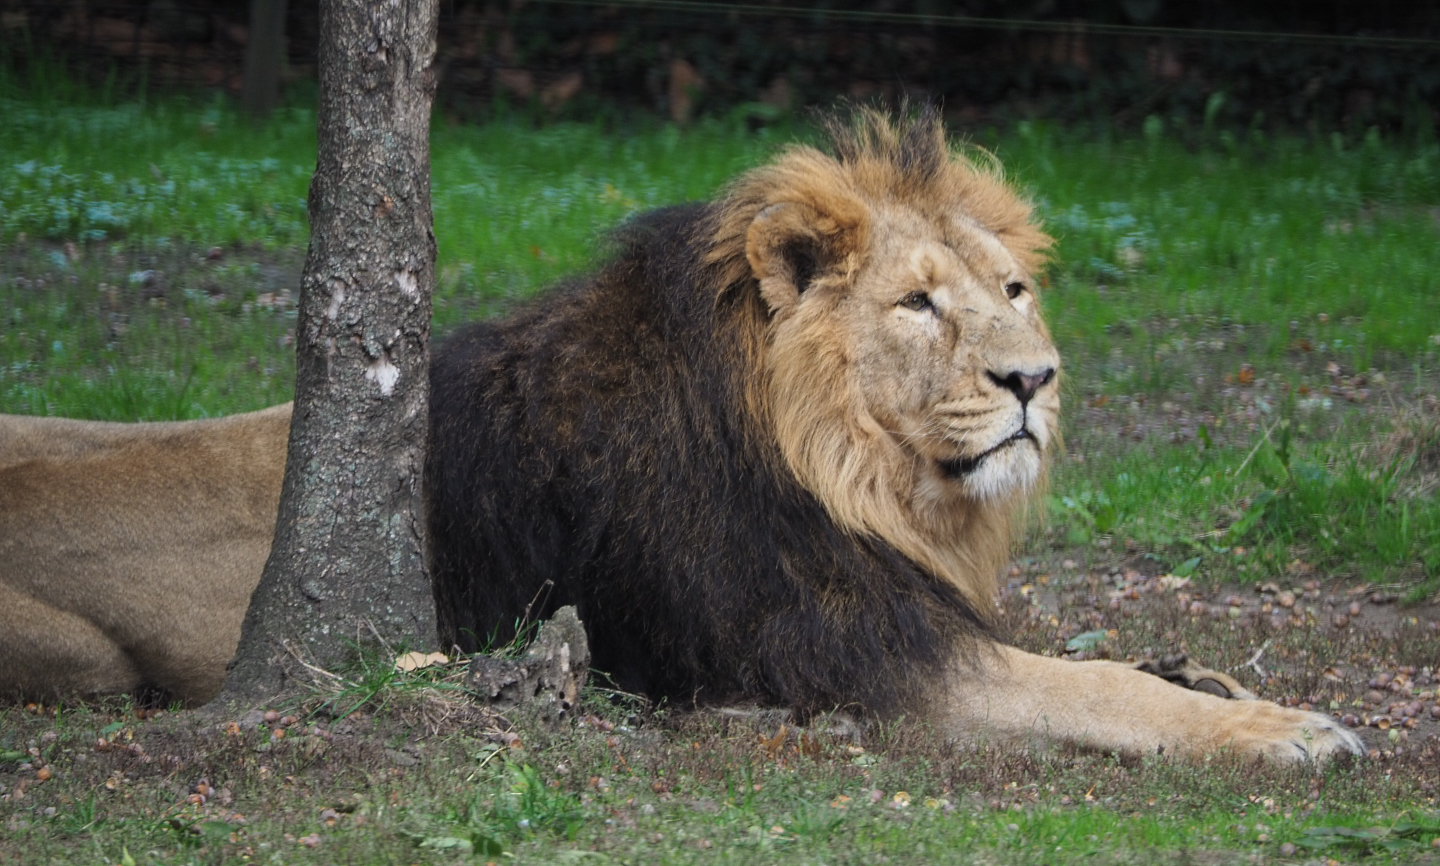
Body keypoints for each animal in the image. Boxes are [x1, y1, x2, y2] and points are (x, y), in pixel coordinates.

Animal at [1, 109, 1362, 761]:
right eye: (919, 304)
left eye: (1013, 289)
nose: (1036, 378)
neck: (861, 475)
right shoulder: (851, 653)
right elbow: (1095, 684)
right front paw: (1286, 728)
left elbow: (1127, 660)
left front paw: (1224, 681)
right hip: (88, 658)